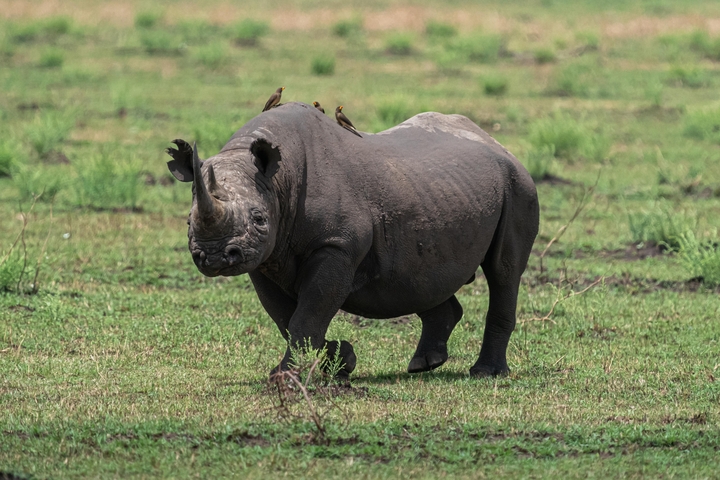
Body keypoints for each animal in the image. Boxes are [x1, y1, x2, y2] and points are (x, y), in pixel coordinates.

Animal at [166, 102, 539, 378]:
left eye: (259, 218)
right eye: (188, 221)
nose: (215, 257)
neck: (278, 180)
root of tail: (497, 143)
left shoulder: (338, 245)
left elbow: (309, 310)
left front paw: (288, 376)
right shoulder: (264, 257)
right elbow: (286, 317)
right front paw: (341, 360)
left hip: (518, 185)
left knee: (504, 273)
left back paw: (486, 373)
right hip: (438, 191)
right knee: (421, 276)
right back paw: (424, 365)